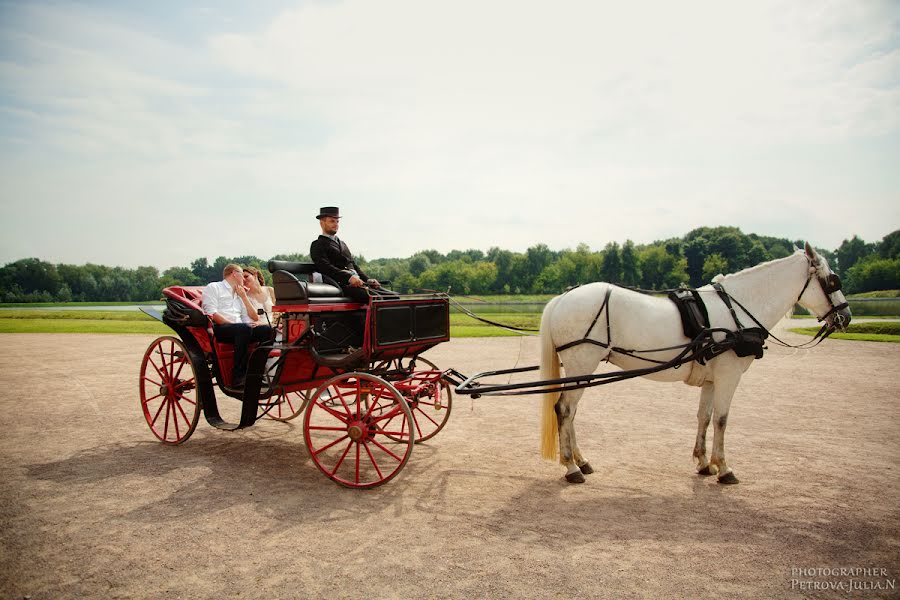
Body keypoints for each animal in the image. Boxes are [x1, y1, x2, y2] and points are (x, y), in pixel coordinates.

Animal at [540, 243, 852, 482]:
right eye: (832, 280)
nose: (846, 317)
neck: (736, 310)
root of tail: (563, 297)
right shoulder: (729, 375)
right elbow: (722, 419)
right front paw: (724, 468)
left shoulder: (712, 379)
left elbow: (705, 416)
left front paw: (704, 463)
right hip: (582, 363)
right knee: (565, 409)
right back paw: (571, 467)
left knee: (571, 412)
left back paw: (581, 461)